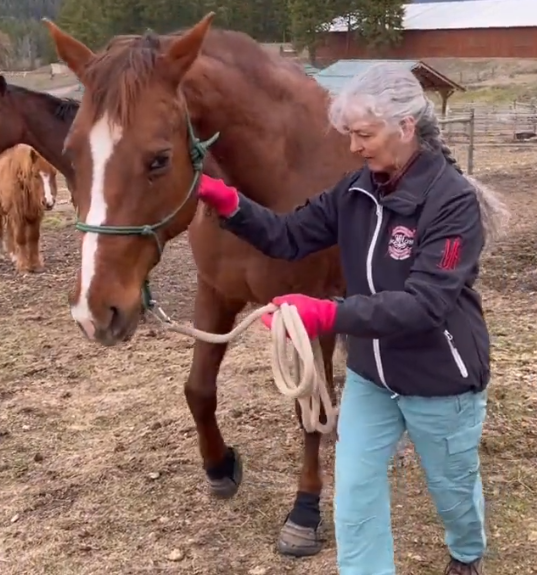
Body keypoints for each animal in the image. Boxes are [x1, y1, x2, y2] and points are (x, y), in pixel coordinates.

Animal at [0, 144, 58, 273]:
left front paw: (35, 264)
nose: (48, 202)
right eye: (36, 175)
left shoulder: (35, 214)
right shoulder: (18, 214)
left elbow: (33, 237)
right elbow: (21, 238)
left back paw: (14, 255)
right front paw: (24, 265)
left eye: (54, 174)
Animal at [43, 15, 364, 556]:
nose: (94, 311)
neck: (278, 180)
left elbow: (308, 411)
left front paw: (304, 511)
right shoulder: (215, 293)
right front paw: (219, 466)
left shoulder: (311, 309)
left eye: (158, 159)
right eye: (70, 154)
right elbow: (197, 389)